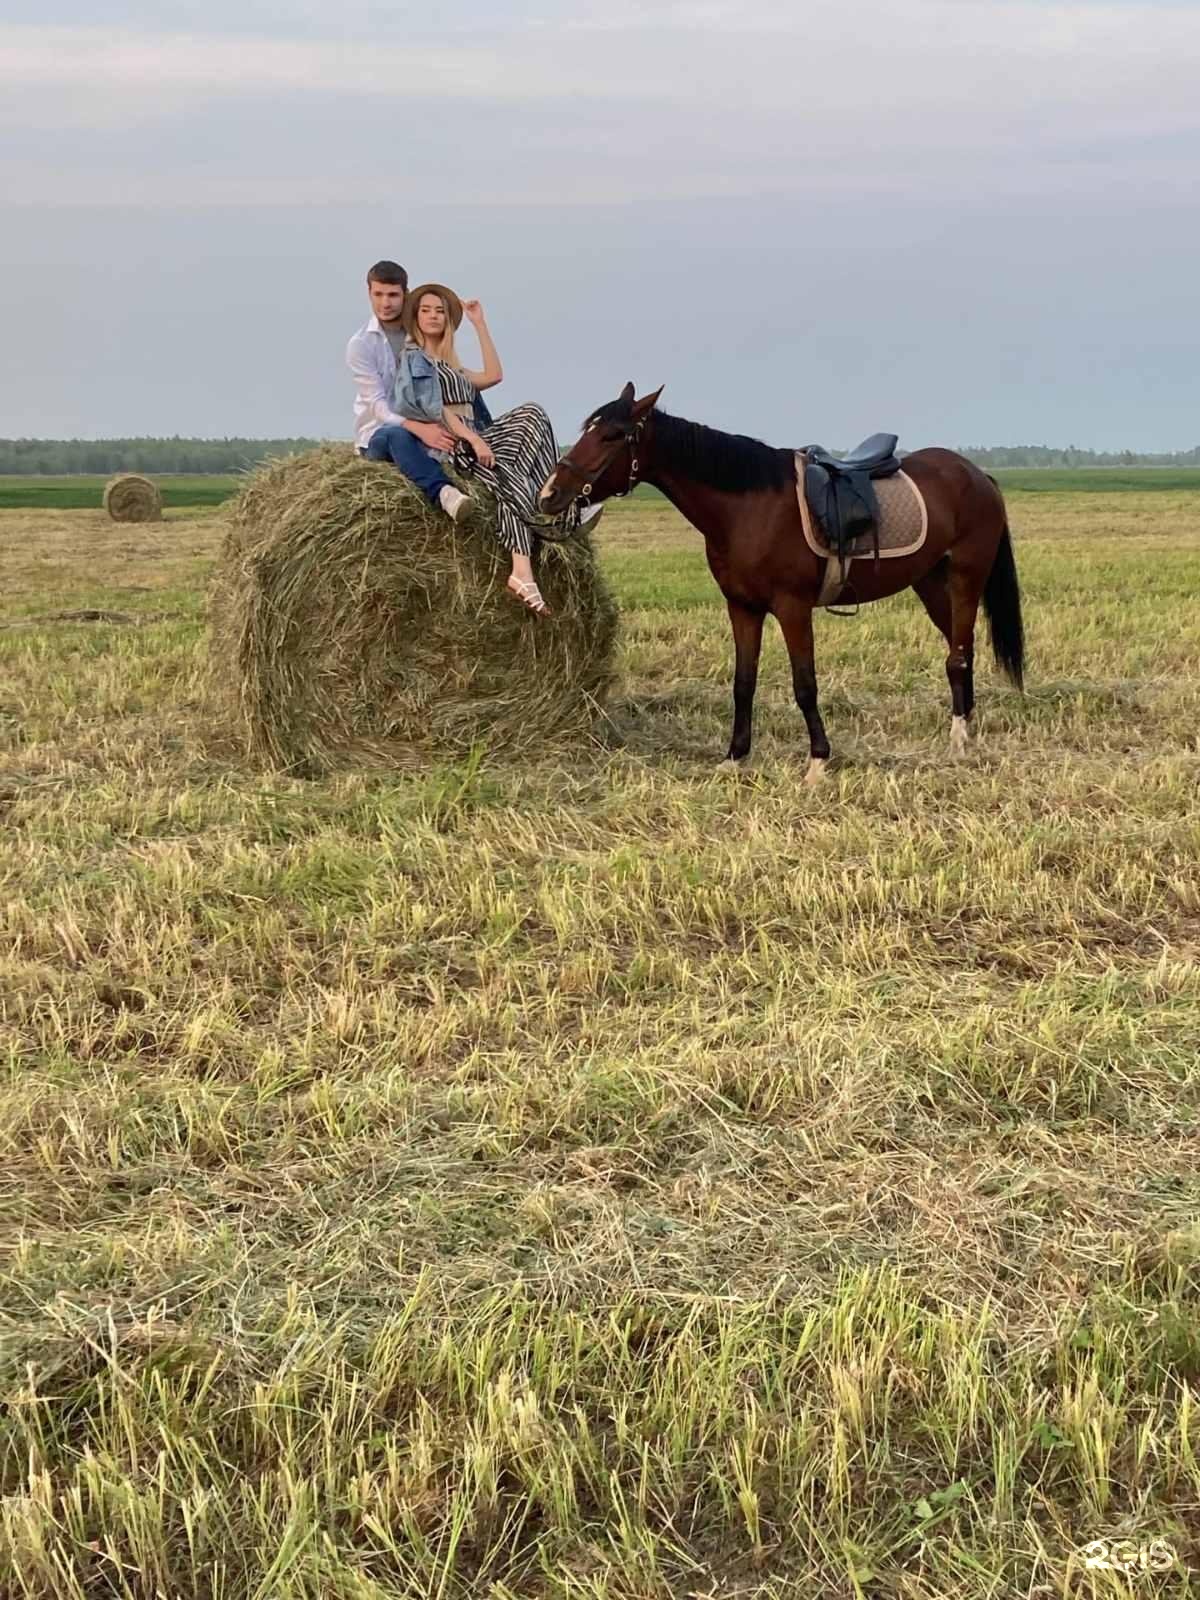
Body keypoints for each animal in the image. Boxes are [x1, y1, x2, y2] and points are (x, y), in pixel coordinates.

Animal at [544, 382, 1024, 780]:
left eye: (611, 436)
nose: (550, 494)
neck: (749, 507)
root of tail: (977, 475)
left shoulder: (792, 607)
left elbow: (804, 684)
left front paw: (817, 762)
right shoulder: (742, 607)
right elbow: (743, 683)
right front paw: (735, 757)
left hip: (966, 576)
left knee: (958, 655)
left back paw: (958, 739)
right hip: (929, 583)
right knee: (962, 648)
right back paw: (965, 725)